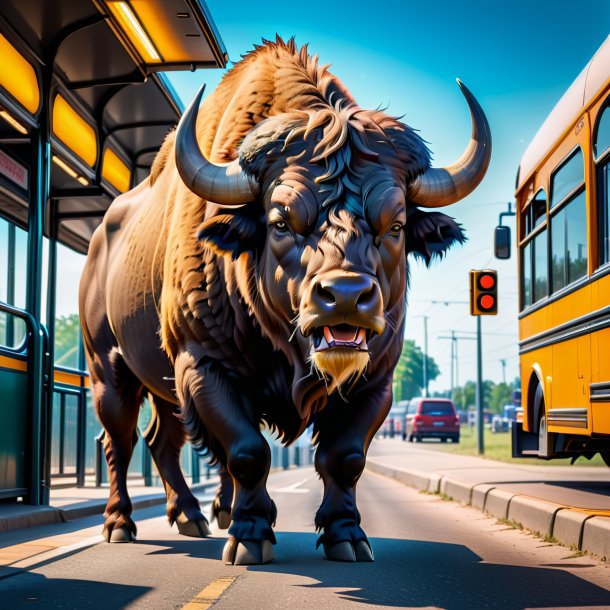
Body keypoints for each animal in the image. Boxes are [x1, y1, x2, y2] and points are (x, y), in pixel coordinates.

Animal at [81, 35, 490, 564]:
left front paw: (346, 534)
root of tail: (101, 238)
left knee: (161, 440)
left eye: (396, 225)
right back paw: (120, 522)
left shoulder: (377, 379)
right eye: (280, 221)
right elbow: (247, 452)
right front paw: (250, 535)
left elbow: (345, 457)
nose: (345, 296)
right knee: (120, 438)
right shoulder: (202, 364)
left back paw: (193, 514)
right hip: (108, 367)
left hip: (160, 380)